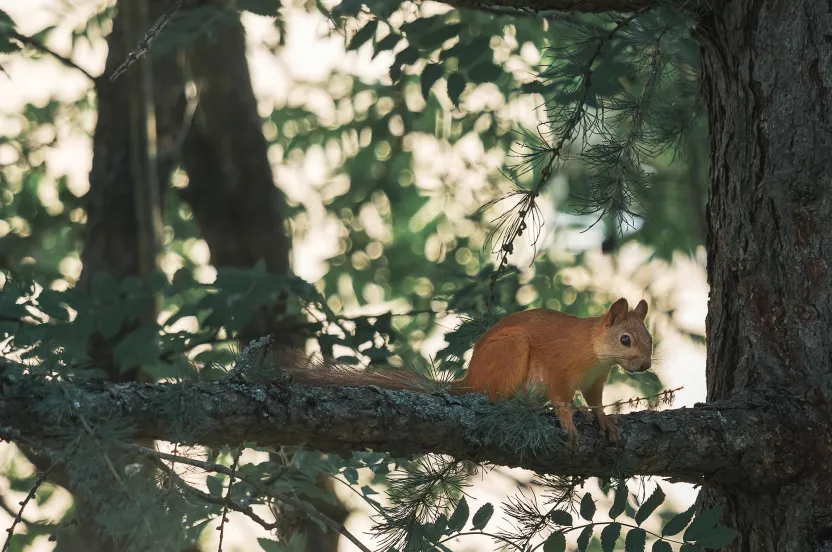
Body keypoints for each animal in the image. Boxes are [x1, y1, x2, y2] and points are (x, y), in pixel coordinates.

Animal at [272, 298, 648, 444]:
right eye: (625, 339)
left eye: (651, 338)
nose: (644, 365)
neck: (595, 351)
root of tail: (470, 381)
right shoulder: (561, 368)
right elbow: (562, 399)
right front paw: (569, 423)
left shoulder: (596, 380)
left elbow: (596, 401)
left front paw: (605, 421)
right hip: (512, 352)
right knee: (495, 397)